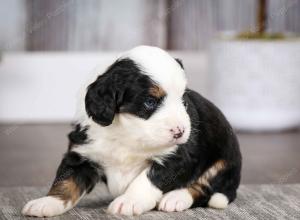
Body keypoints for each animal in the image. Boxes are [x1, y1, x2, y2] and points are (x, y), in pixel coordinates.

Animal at [21, 46, 241, 217]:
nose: (180, 132)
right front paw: (46, 203)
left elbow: (147, 179)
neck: (127, 134)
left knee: (205, 188)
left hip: (223, 162)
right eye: (150, 102)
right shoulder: (82, 152)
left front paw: (129, 201)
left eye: (183, 101)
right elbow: (65, 180)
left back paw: (175, 198)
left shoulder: (177, 156)